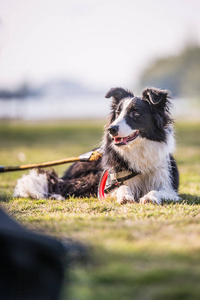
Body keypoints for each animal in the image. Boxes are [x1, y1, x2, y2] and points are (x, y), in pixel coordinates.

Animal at [14, 86, 180, 204]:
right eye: (117, 113)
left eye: (135, 114)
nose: (111, 129)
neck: (138, 149)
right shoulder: (110, 184)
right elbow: (122, 187)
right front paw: (125, 196)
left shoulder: (168, 185)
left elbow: (157, 191)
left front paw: (149, 197)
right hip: (92, 178)